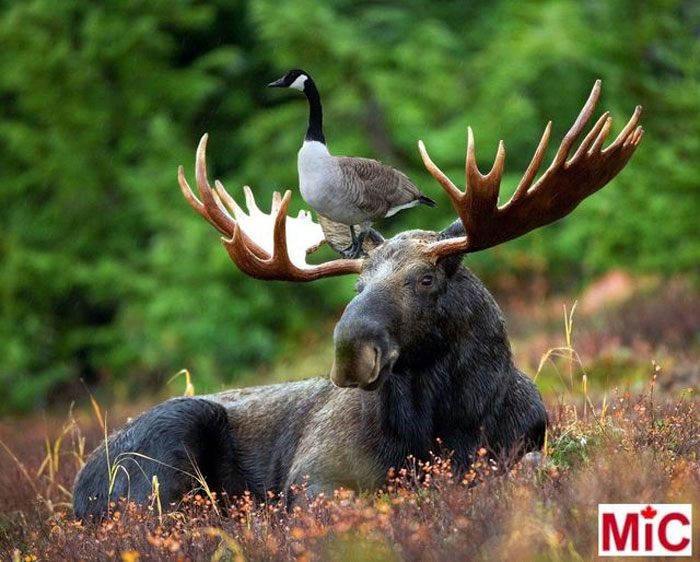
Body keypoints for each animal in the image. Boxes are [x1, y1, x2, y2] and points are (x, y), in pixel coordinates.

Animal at [73, 81, 643, 519]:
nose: (350, 352)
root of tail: (78, 490)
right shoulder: (314, 475)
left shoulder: (523, 445)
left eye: (425, 279)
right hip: (165, 451)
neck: (447, 423)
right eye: (357, 286)